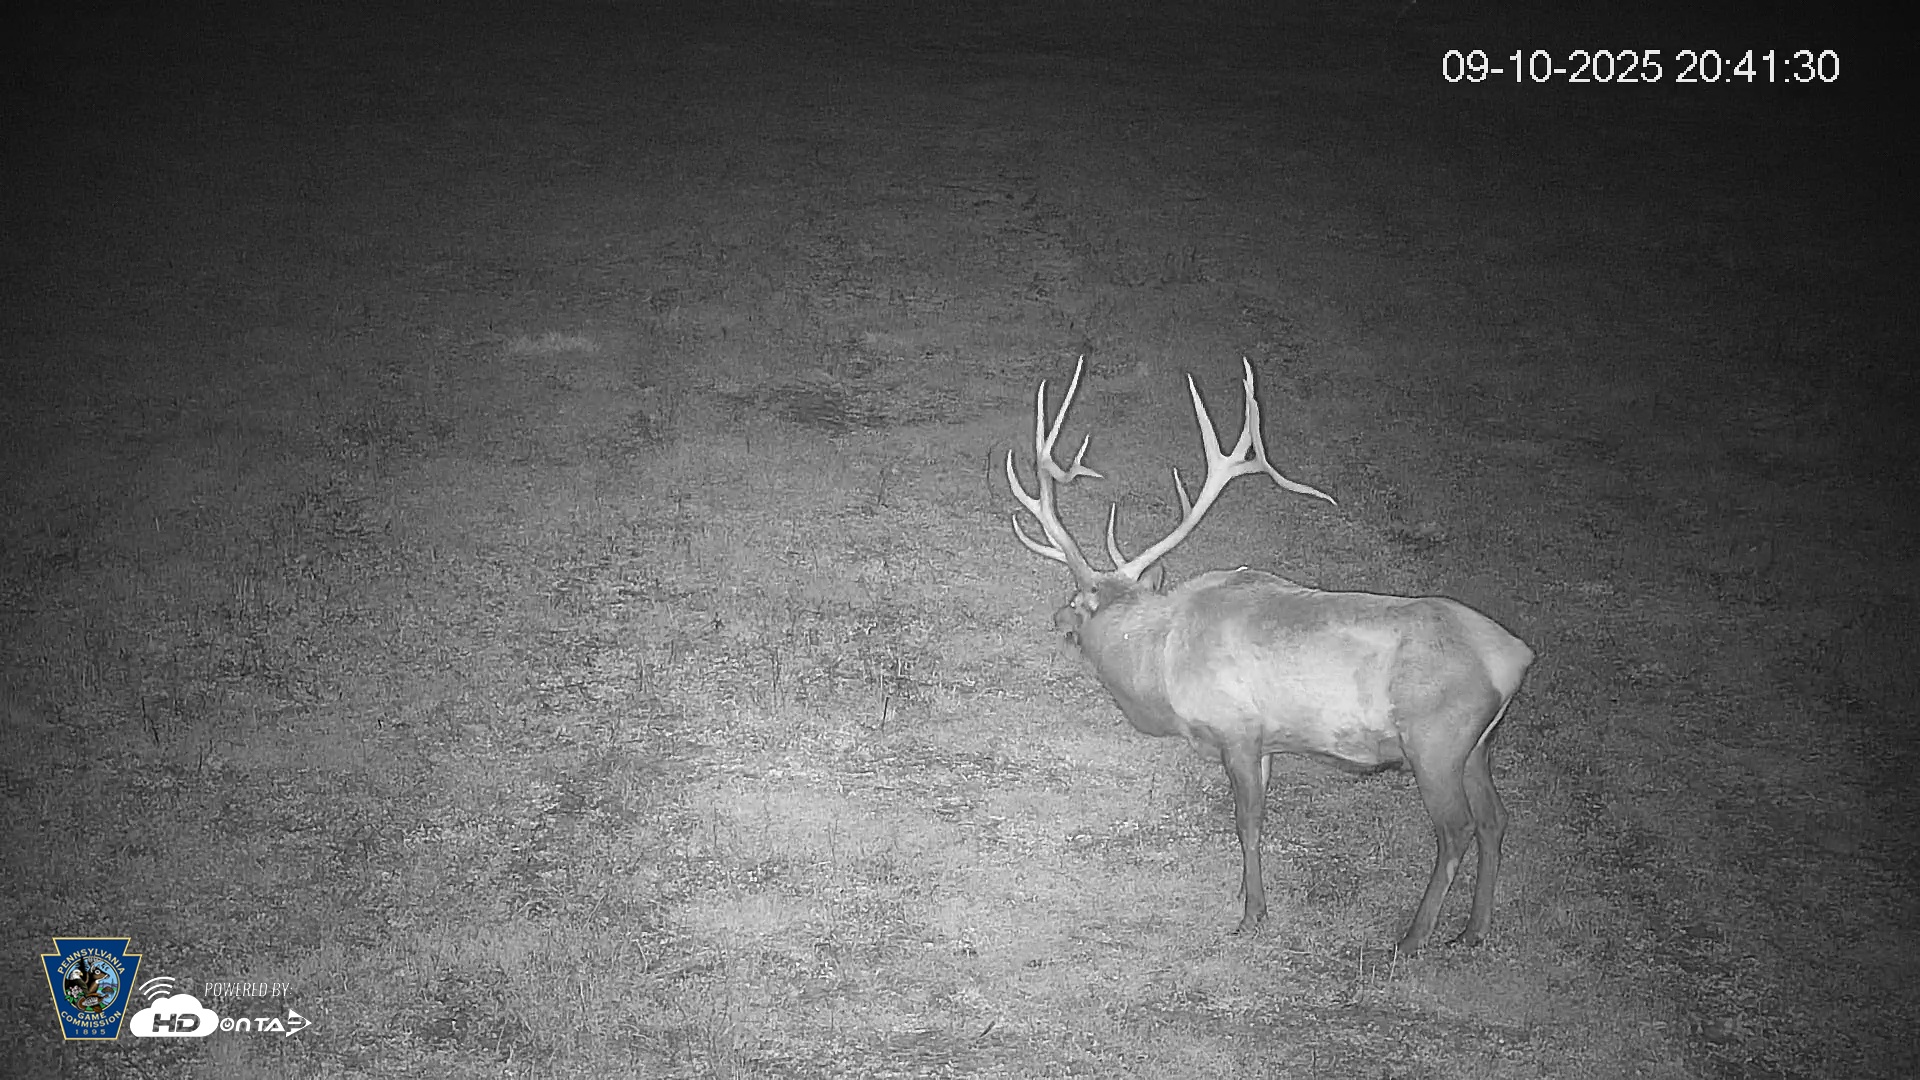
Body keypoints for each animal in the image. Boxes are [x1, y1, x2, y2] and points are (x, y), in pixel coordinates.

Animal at [1005, 357, 1533, 953]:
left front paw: (1252, 913)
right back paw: (1474, 929)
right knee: (1496, 819)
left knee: (1456, 831)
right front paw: (1244, 895)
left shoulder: (1237, 729)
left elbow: (1248, 823)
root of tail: (1515, 656)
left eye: (1077, 600)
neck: (1159, 668)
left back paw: (1413, 937)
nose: (1055, 618)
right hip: (1478, 747)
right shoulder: (1268, 741)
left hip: (1436, 742)